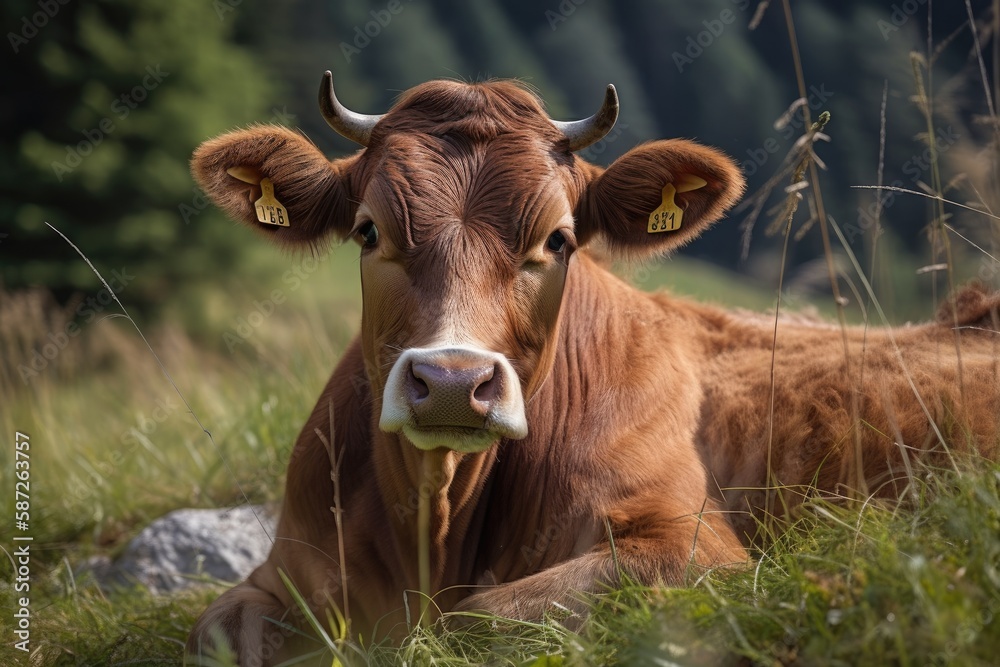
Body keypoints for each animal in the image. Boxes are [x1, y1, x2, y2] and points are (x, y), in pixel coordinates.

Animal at [182, 75, 1000, 664]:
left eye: (559, 239)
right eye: (367, 230)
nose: (451, 382)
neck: (435, 522)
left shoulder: (694, 549)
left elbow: (476, 620)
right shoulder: (284, 570)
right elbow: (215, 631)